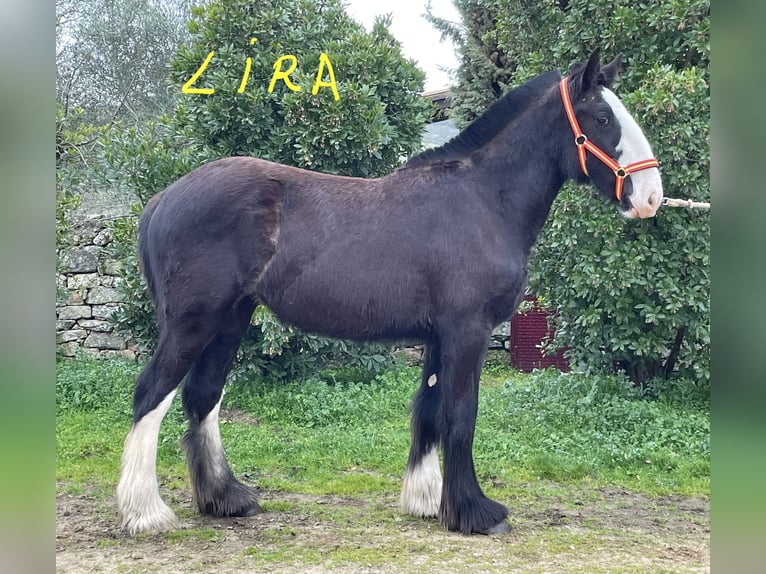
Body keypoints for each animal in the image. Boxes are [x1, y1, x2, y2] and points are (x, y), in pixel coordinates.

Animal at [116, 49, 663, 536]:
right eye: (602, 117)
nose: (652, 197)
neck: (482, 200)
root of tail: (162, 200)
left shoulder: (439, 336)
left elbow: (429, 410)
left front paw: (427, 501)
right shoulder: (468, 330)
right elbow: (460, 415)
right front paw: (476, 513)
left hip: (231, 319)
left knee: (202, 396)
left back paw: (225, 498)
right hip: (194, 323)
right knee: (151, 394)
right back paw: (146, 512)